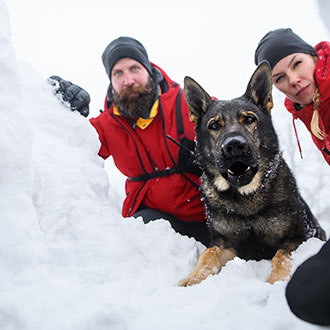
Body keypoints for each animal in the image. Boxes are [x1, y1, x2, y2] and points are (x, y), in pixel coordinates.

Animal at [178, 62, 324, 286]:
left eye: (248, 119)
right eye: (214, 125)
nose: (234, 146)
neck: (245, 197)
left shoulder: (298, 238)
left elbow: (280, 256)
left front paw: (274, 282)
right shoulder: (225, 243)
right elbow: (208, 254)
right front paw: (194, 277)